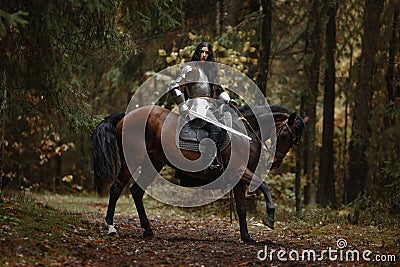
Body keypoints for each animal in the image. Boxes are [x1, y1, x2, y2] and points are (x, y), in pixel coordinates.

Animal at [91, 103, 306, 244]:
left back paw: (148, 230)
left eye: (295, 141)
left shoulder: (239, 179)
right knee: (116, 188)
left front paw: (246, 237)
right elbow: (265, 186)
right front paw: (269, 218)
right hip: (132, 160)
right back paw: (111, 227)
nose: (276, 162)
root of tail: (127, 116)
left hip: (154, 162)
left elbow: (242, 208)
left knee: (136, 191)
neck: (245, 134)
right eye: (284, 135)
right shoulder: (239, 170)